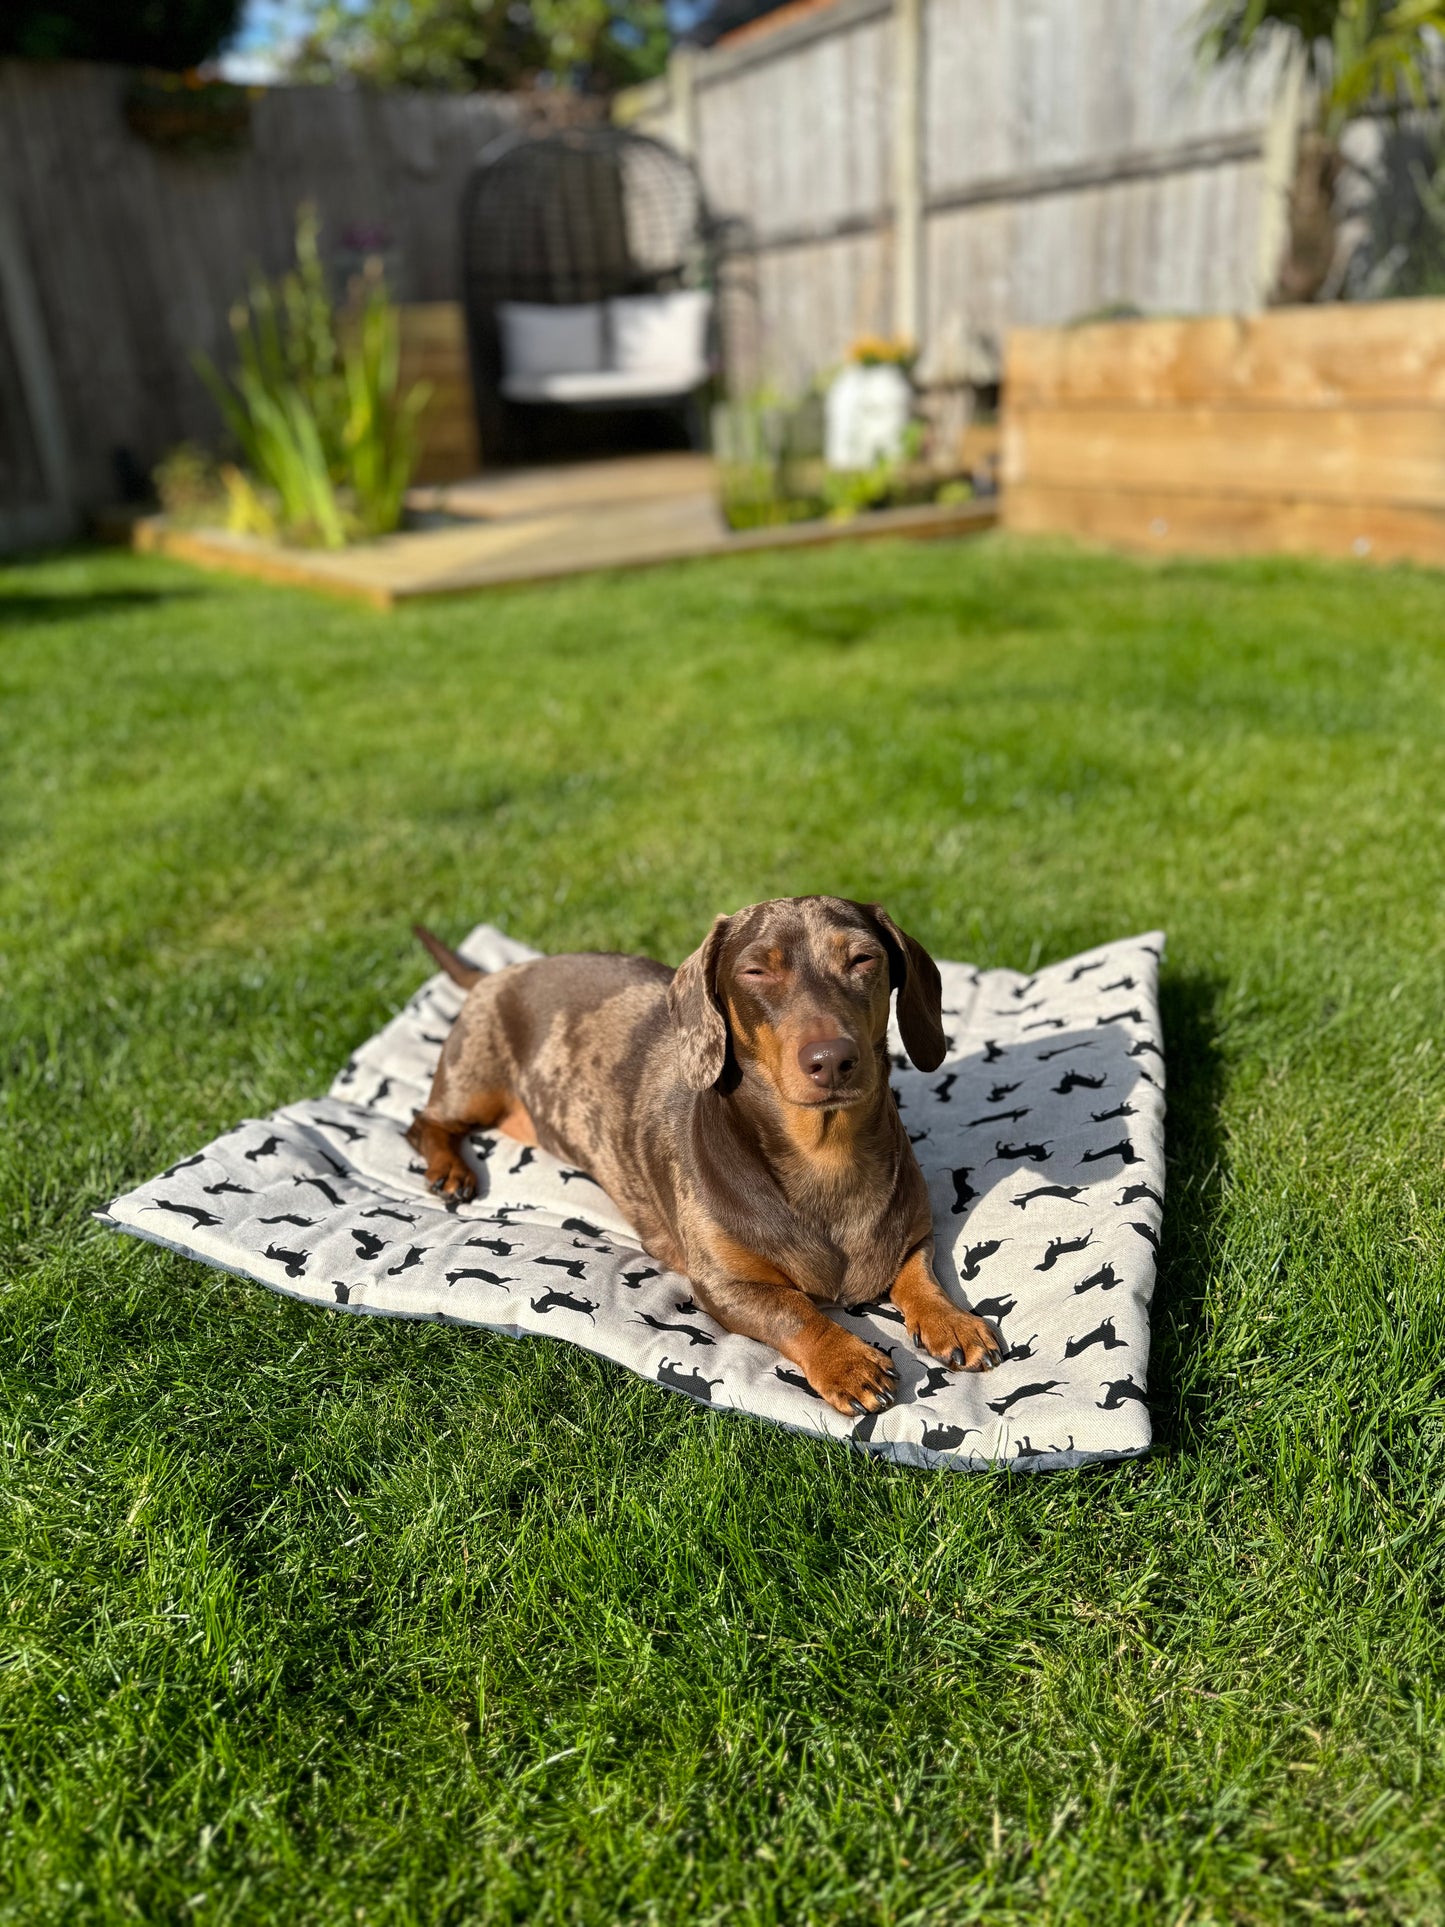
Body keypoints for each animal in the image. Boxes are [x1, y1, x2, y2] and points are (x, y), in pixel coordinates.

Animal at [402, 897, 1001, 1418]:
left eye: (863, 959)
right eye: (756, 971)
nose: (832, 1059)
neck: (825, 1154)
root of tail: (499, 974)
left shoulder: (915, 1233)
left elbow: (919, 1273)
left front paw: (949, 1320)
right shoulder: (724, 1287)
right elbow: (793, 1311)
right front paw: (847, 1360)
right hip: (471, 1084)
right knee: (424, 1122)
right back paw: (449, 1170)